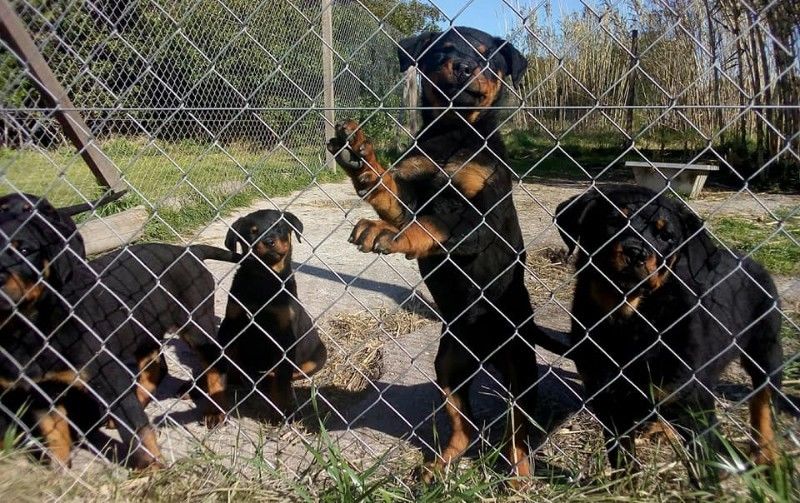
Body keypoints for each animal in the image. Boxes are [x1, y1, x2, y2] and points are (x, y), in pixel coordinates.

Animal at [0, 213, 234, 468]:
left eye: (25, 250)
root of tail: (188, 251)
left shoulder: (111, 377)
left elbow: (136, 430)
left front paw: (152, 470)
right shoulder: (39, 394)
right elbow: (54, 433)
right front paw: (58, 469)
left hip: (195, 323)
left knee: (214, 362)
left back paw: (216, 411)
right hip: (143, 329)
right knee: (155, 369)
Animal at [219, 210, 324, 422]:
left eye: (279, 227)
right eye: (252, 232)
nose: (268, 241)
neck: (264, 279)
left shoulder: (285, 334)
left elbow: (283, 380)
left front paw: (284, 411)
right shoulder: (231, 322)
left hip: (317, 358)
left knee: (290, 373)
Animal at [324, 26, 564, 480]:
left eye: (489, 59)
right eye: (444, 50)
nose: (466, 67)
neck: (453, 134)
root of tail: (485, 355)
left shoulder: (480, 219)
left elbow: (434, 224)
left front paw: (390, 233)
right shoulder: (410, 192)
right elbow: (391, 192)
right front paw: (361, 157)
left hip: (520, 368)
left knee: (519, 432)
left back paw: (520, 478)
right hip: (449, 365)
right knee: (464, 426)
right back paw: (440, 466)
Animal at [556, 185, 780, 484]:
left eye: (666, 236)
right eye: (613, 220)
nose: (636, 252)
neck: (628, 321)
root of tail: (748, 258)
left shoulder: (695, 410)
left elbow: (705, 468)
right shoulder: (608, 401)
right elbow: (622, 458)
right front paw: (625, 486)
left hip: (765, 348)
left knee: (763, 400)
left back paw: (766, 456)